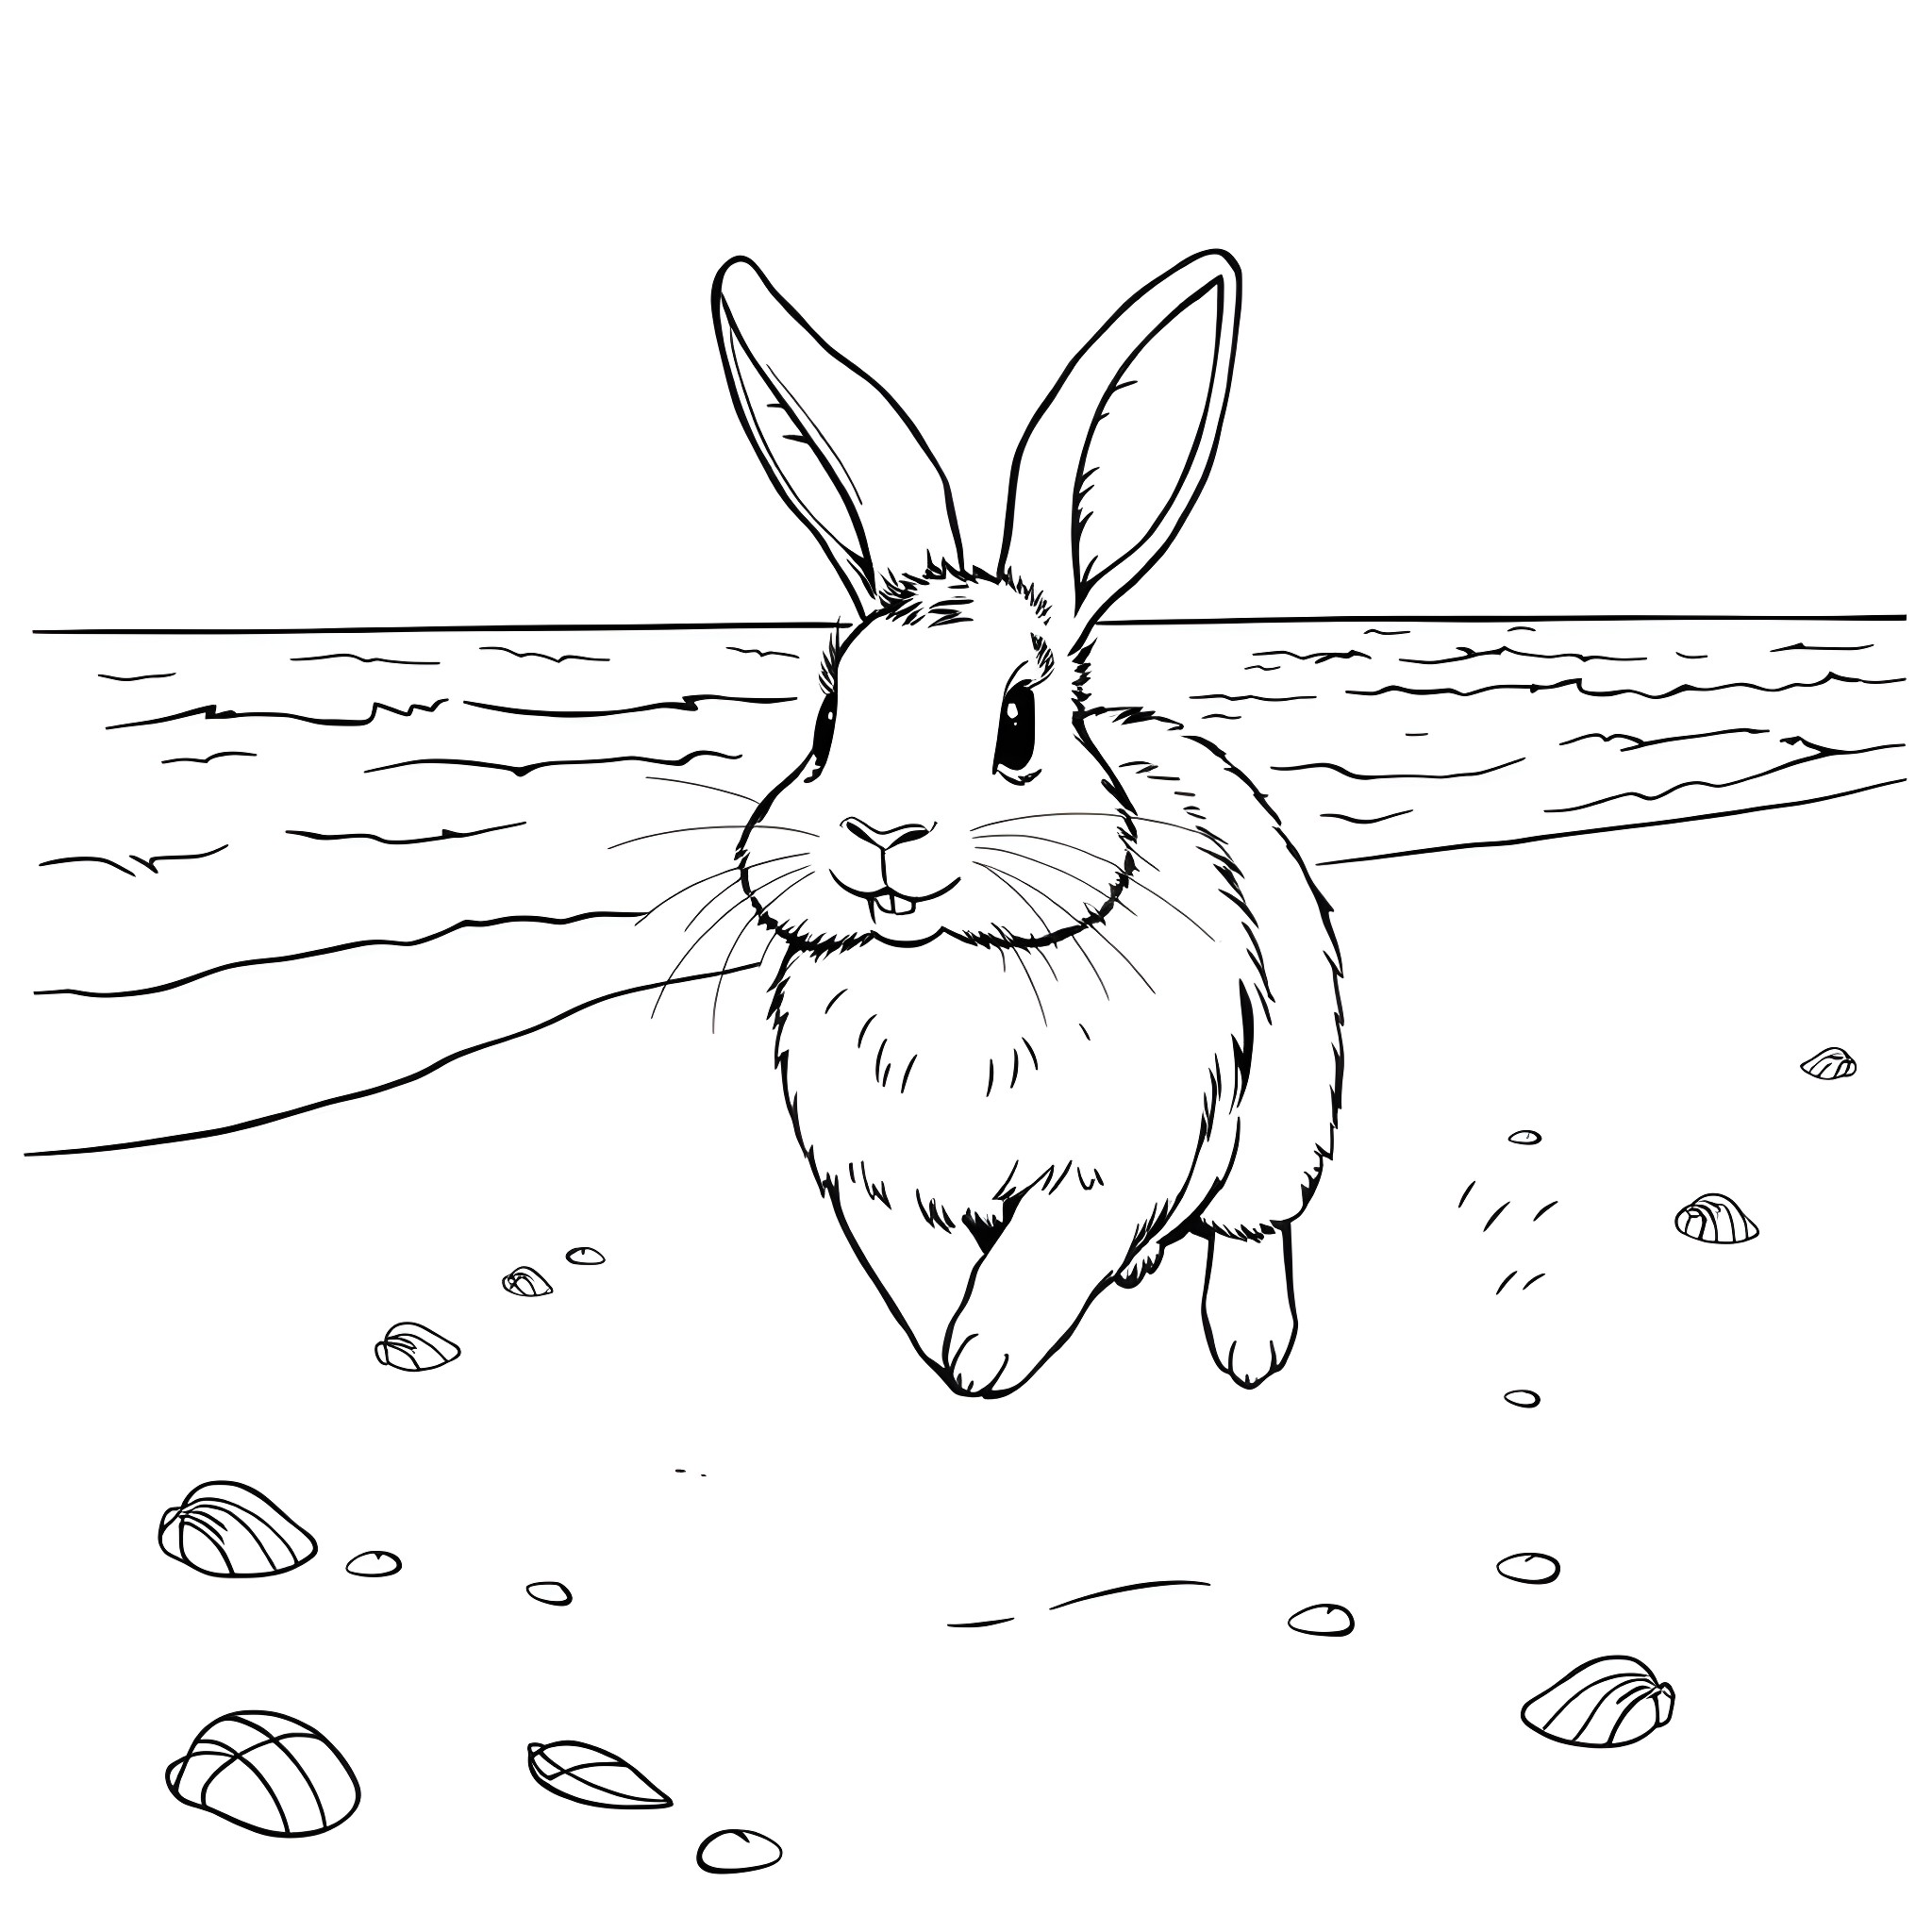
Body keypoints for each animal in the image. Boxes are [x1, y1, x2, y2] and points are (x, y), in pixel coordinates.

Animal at [711, 249, 1341, 1397]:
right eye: (826, 719)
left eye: (1017, 722)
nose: (882, 835)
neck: (948, 970)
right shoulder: (877, 1178)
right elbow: (915, 1266)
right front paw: (943, 1345)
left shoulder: (1108, 1164)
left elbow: (1042, 1256)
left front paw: (984, 1356)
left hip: (1289, 1107)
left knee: (1252, 1223)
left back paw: (1247, 1343)